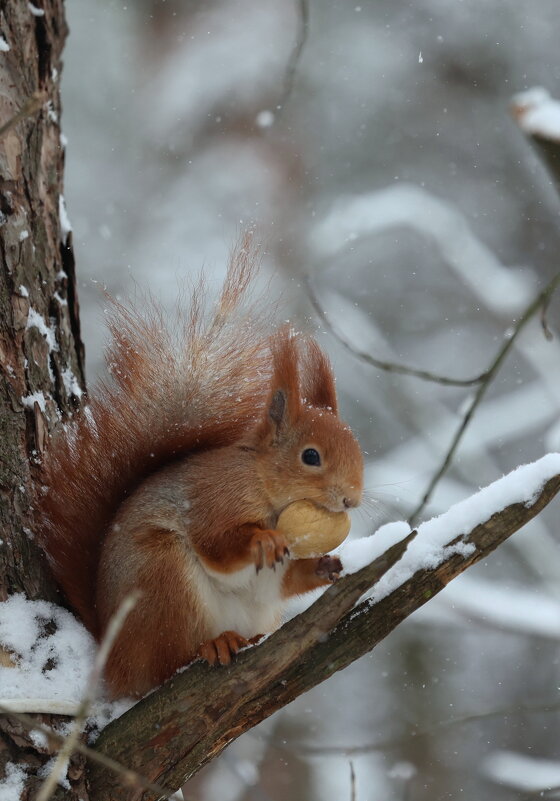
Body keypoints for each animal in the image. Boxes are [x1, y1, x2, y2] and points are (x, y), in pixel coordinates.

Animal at [39, 242, 364, 692]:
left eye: (357, 446)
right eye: (311, 456)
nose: (352, 499)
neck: (264, 486)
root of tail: (113, 662)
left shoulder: (274, 575)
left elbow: (287, 581)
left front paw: (326, 565)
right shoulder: (214, 497)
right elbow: (216, 545)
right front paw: (261, 540)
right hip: (162, 580)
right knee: (166, 664)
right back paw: (212, 646)